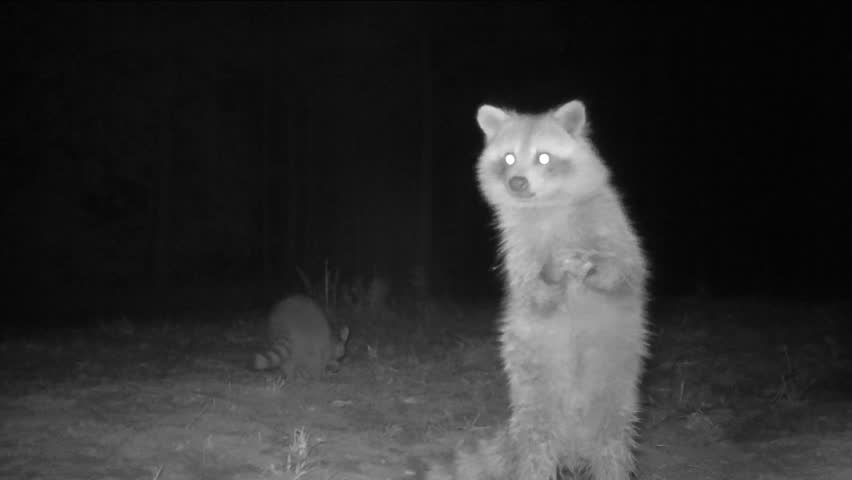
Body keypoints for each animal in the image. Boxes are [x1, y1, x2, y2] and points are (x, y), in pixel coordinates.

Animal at [430, 98, 648, 480]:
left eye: (544, 158)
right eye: (508, 159)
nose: (517, 182)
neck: (546, 204)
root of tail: (574, 447)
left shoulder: (615, 228)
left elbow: (625, 270)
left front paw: (597, 271)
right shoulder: (516, 249)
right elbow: (533, 293)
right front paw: (551, 274)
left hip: (615, 398)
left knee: (613, 446)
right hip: (533, 394)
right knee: (535, 444)